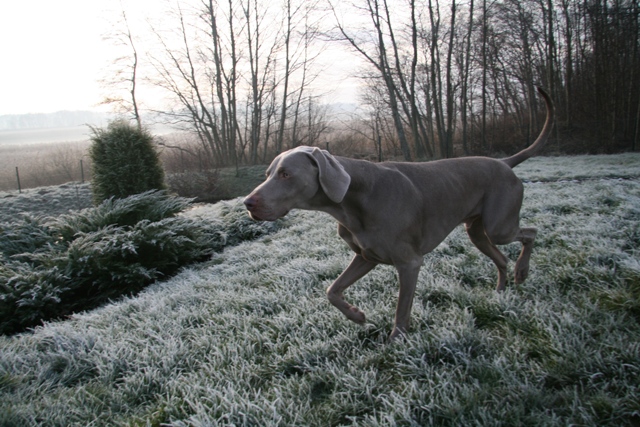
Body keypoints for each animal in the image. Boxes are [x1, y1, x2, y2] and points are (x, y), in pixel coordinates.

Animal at [242, 87, 552, 342]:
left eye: (285, 174)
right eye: (268, 173)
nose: (247, 202)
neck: (353, 200)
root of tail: (505, 162)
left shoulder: (409, 262)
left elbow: (402, 309)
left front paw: (396, 343)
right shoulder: (366, 256)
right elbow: (332, 290)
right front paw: (357, 315)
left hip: (499, 226)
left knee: (530, 233)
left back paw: (522, 271)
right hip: (477, 231)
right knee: (501, 257)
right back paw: (502, 291)